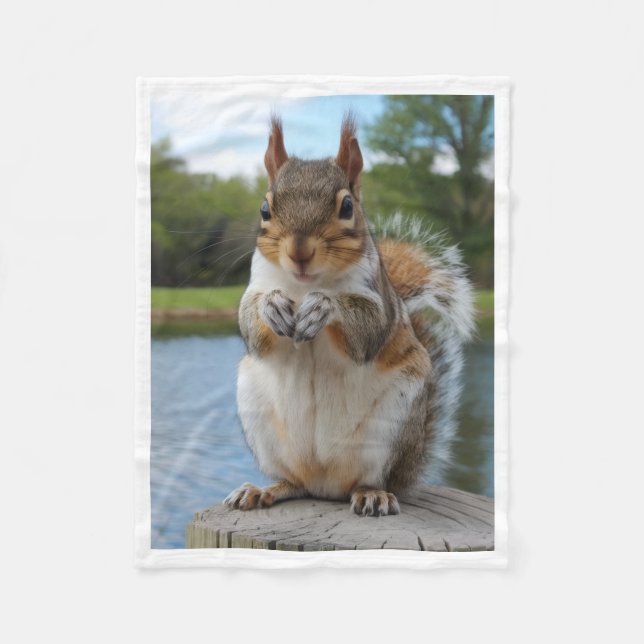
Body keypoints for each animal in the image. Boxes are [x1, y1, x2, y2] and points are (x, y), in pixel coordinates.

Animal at [224, 114, 475, 517]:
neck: (304, 284)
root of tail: (324, 485)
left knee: (370, 479)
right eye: (265, 210)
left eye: (346, 207)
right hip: (257, 414)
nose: (299, 252)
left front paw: (323, 306)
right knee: (293, 482)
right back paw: (263, 490)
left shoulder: (378, 301)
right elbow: (252, 325)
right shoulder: (256, 284)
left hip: (391, 427)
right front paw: (271, 307)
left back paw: (373, 494)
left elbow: (366, 331)